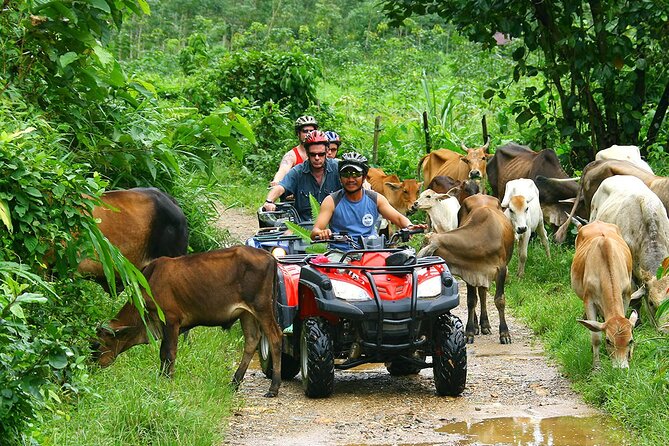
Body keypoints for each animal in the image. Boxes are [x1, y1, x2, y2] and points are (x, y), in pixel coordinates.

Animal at [93, 247, 282, 398]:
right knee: (252, 340)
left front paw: (167, 380)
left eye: (98, 345)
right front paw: (162, 377)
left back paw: (273, 388)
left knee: (275, 337)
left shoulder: (171, 320)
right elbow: (163, 353)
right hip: (246, 313)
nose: (92, 366)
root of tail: (269, 256)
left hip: (261, 307)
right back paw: (235, 382)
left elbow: (168, 353)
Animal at [414, 195, 516, 344]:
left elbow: (499, 300)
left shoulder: (502, 270)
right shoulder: (469, 270)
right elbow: (471, 301)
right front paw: (469, 331)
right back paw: (478, 325)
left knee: (483, 293)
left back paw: (485, 324)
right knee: (480, 294)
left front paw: (504, 333)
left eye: (424, 246)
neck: (482, 239)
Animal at [568, 220, 636, 370]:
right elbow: (595, 337)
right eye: (608, 341)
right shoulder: (589, 301)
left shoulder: (626, 295)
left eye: (630, 341)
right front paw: (597, 366)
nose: (621, 368)